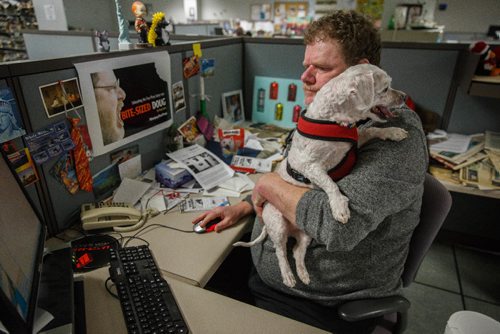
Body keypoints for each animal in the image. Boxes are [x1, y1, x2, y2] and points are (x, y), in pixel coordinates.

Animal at [233, 64, 406, 288]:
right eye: (385, 89)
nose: (404, 97)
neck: (334, 121)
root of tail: (290, 229)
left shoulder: (353, 143)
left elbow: (373, 130)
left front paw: (393, 132)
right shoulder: (308, 165)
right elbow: (329, 182)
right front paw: (339, 205)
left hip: (306, 233)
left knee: (297, 251)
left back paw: (303, 273)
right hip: (277, 223)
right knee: (281, 251)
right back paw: (288, 275)